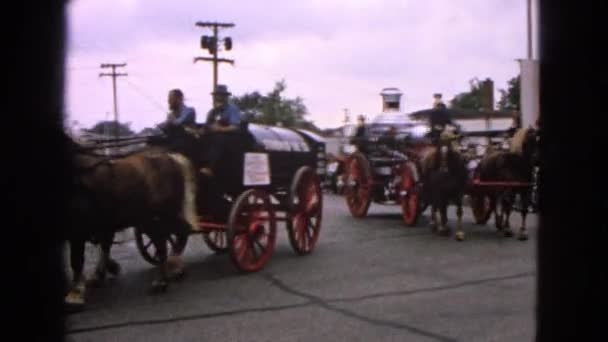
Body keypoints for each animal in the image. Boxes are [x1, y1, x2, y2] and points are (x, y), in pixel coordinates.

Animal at [64, 136, 197, 310]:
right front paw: (102, 273)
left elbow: (77, 260)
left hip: (157, 218)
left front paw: (75, 294)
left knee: (167, 241)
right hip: (152, 220)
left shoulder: (78, 230)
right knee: (179, 233)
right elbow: (102, 247)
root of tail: (170, 157)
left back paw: (161, 280)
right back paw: (173, 269)